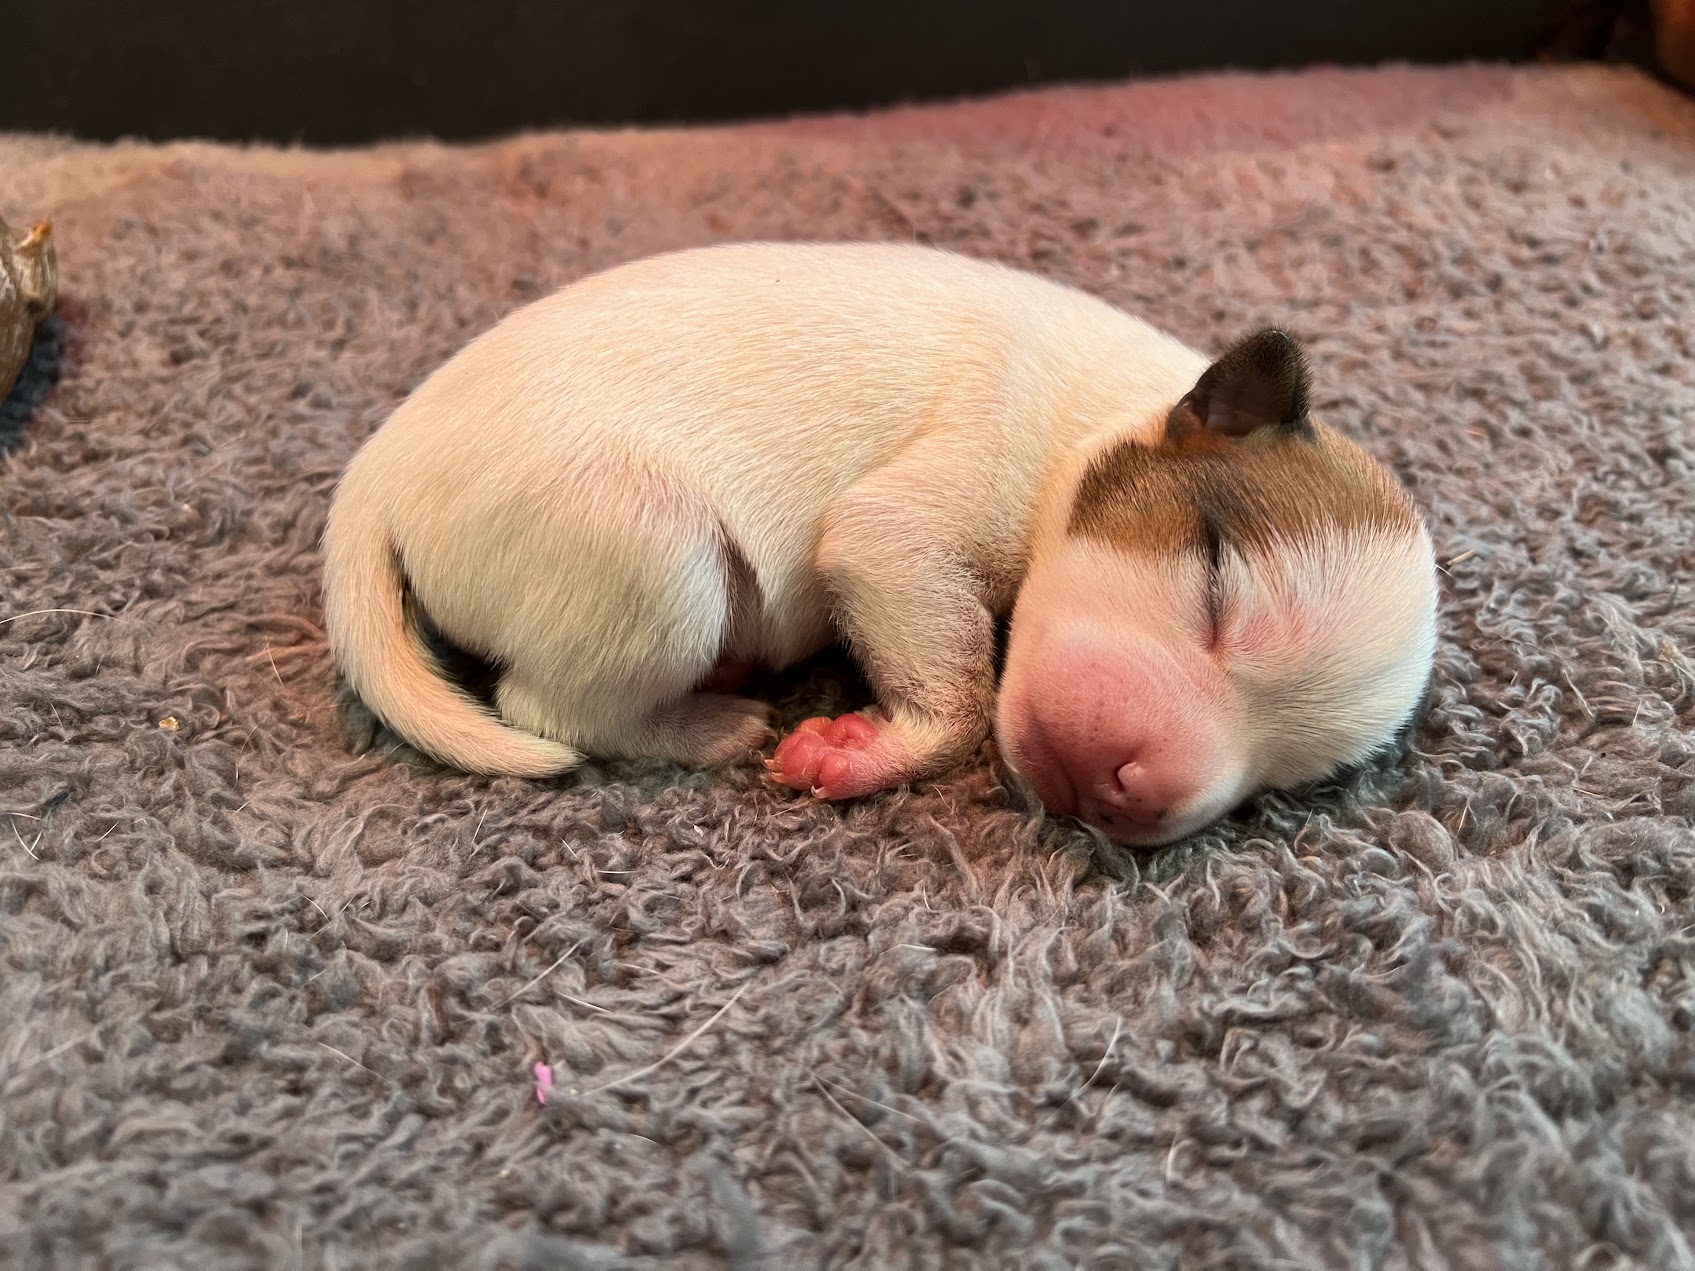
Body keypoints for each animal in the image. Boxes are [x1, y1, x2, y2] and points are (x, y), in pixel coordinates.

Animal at [321, 242, 1437, 846]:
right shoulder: (914, 516)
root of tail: (375, 473)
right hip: (657, 556)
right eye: (1214, 578)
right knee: (547, 705)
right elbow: (954, 672)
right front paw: (881, 747)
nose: (1134, 790)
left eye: (1283, 781)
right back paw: (709, 725)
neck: (1104, 410)